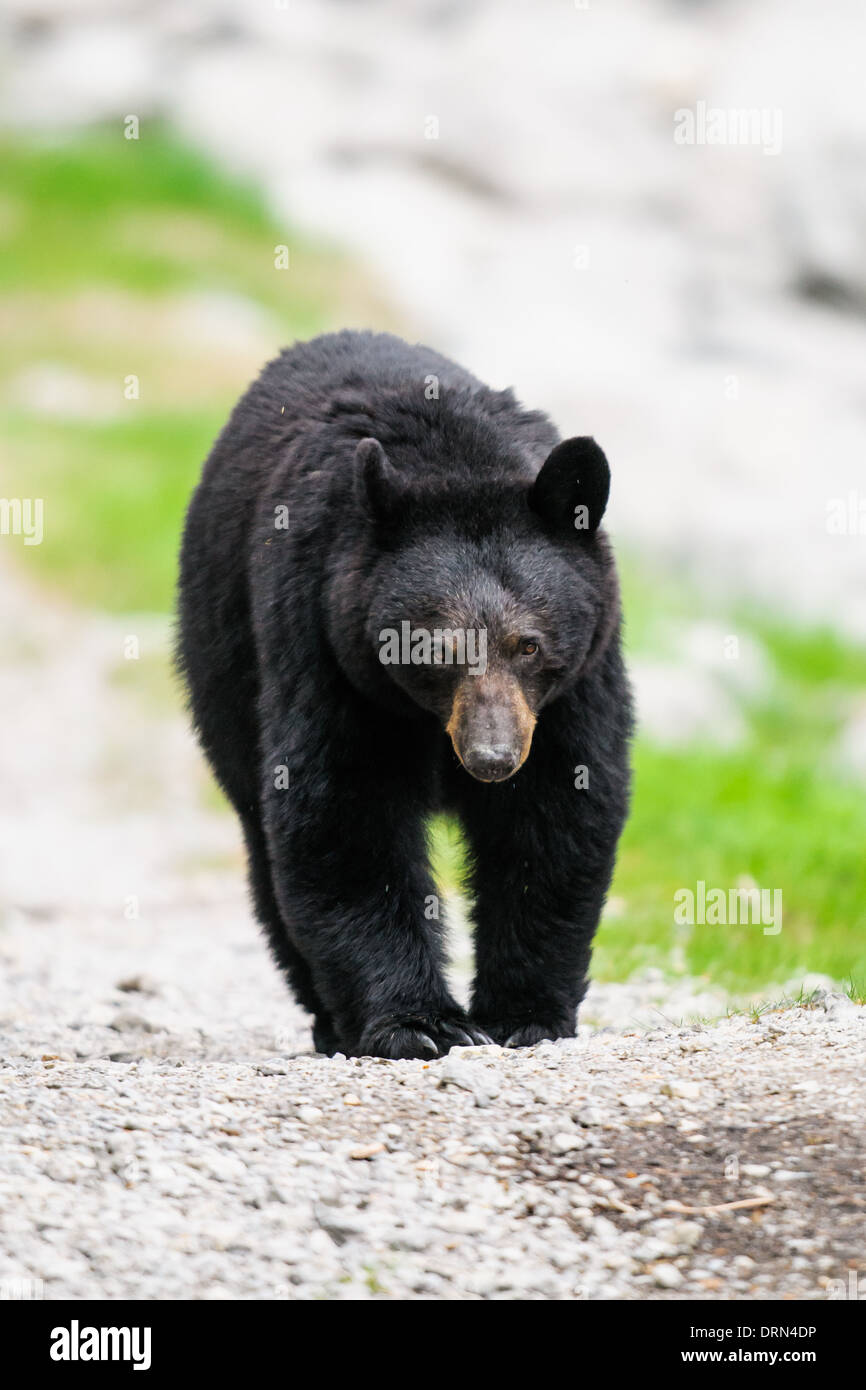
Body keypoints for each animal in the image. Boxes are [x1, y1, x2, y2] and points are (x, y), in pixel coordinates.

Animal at [179, 330, 633, 1056]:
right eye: (434, 650)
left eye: (529, 645)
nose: (492, 759)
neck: (456, 462)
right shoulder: (325, 644)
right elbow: (344, 811)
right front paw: (419, 1023)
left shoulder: (574, 687)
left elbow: (557, 809)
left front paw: (525, 1013)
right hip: (223, 660)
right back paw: (330, 1020)